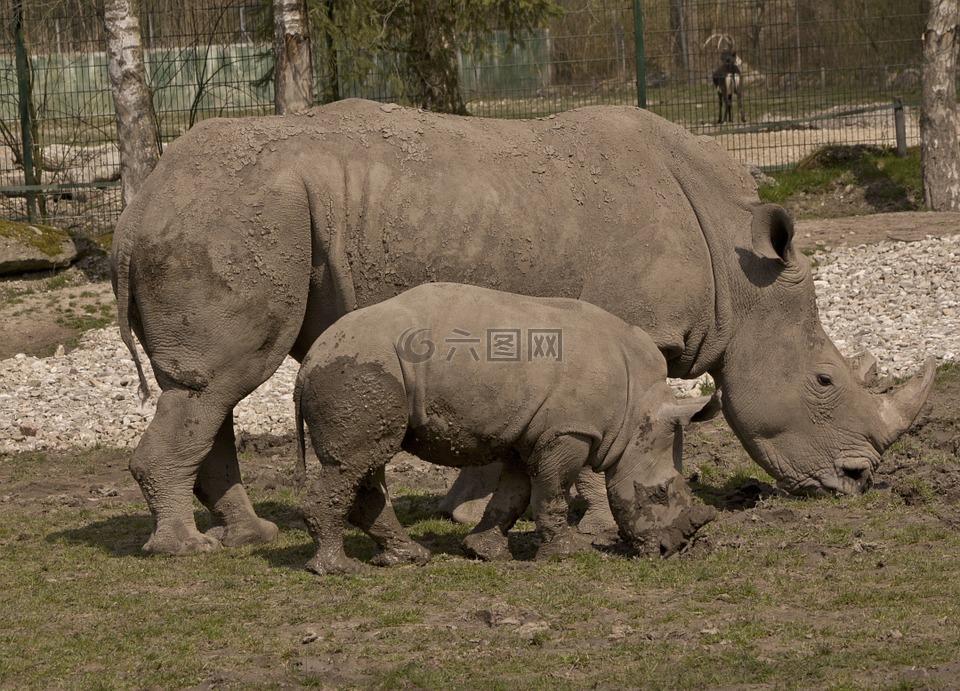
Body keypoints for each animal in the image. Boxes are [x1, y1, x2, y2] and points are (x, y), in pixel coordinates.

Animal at [296, 284, 716, 576]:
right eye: (660, 493)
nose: (669, 551)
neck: (637, 411)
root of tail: (308, 364)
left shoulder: (527, 433)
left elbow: (515, 494)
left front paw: (484, 552)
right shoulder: (568, 431)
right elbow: (552, 492)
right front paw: (567, 555)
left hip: (369, 370)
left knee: (368, 463)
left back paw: (409, 558)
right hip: (359, 370)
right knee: (353, 464)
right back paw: (339, 569)